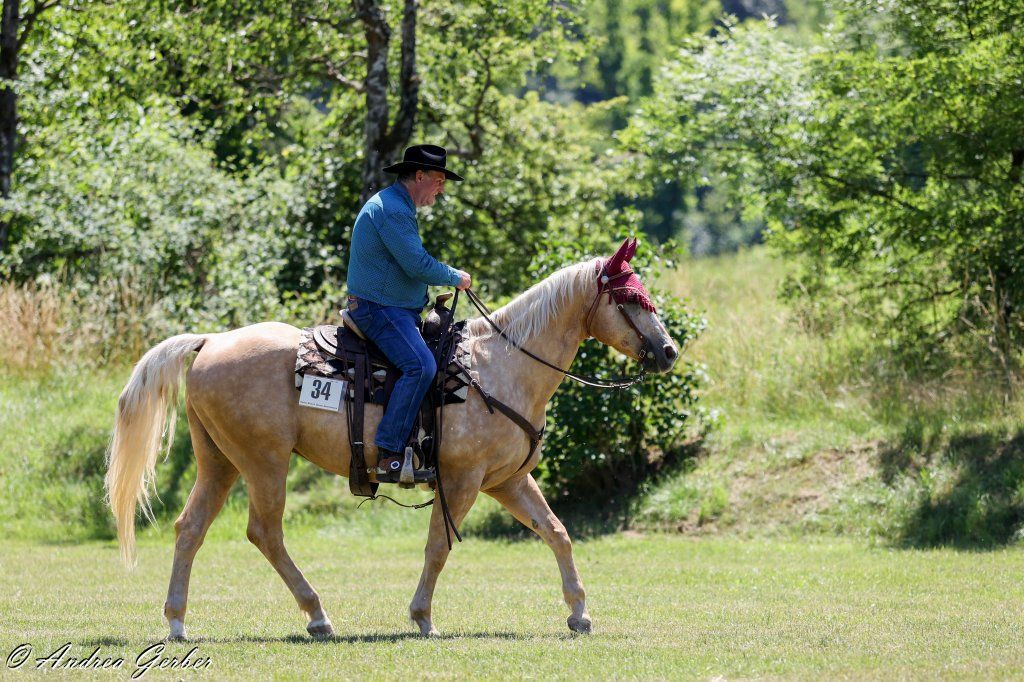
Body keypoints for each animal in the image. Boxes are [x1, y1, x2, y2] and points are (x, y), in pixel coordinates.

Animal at [105, 238, 680, 640]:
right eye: (631, 298)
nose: (670, 350)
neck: (502, 366)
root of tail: (209, 342)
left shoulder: (508, 481)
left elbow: (557, 532)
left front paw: (579, 613)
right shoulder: (462, 480)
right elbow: (438, 547)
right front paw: (422, 616)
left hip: (218, 462)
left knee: (189, 528)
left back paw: (177, 622)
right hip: (263, 462)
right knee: (264, 533)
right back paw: (317, 616)